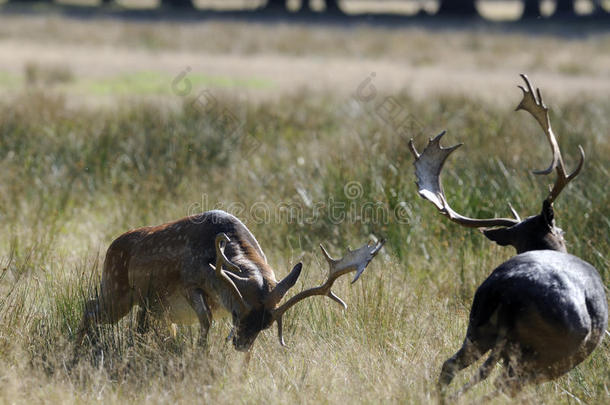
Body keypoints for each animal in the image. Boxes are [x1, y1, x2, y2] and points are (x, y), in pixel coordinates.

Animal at [76, 208, 380, 350]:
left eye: (267, 325)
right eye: (236, 313)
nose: (241, 345)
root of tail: (111, 246)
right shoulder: (190, 285)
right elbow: (206, 321)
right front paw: (200, 354)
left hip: (150, 306)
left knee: (141, 327)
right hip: (116, 290)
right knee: (89, 306)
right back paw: (76, 350)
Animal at [406, 75, 604, 398]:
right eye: (561, 231)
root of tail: (510, 294)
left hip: (479, 325)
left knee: (453, 364)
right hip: (551, 349)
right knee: (504, 382)